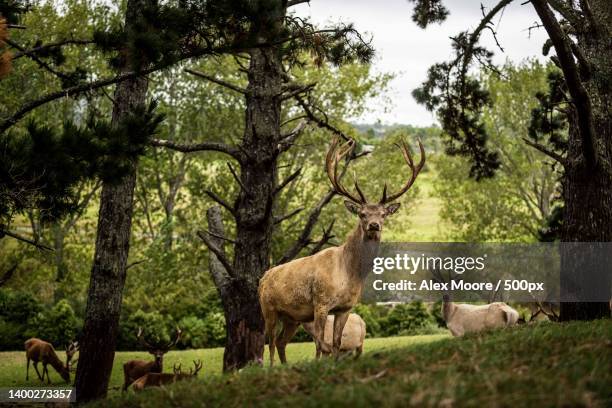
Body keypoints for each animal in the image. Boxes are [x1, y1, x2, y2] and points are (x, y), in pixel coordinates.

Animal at [258, 135, 426, 364]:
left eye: (383, 214)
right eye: (362, 214)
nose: (374, 225)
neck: (349, 273)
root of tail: (262, 279)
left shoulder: (345, 307)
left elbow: (337, 343)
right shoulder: (321, 302)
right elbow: (320, 344)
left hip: (292, 316)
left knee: (282, 342)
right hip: (268, 309)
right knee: (270, 343)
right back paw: (271, 367)